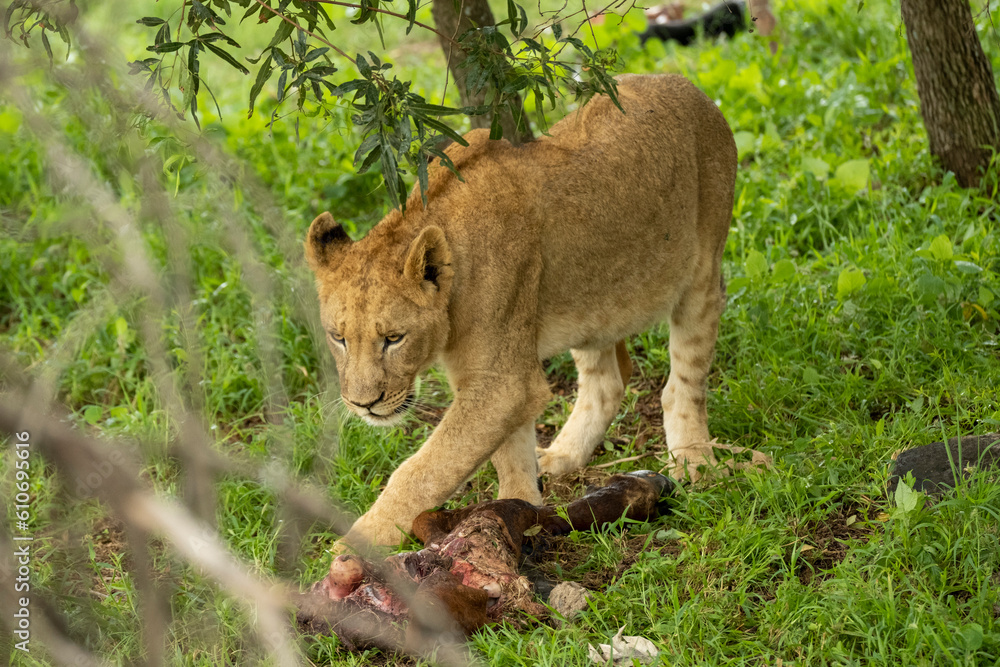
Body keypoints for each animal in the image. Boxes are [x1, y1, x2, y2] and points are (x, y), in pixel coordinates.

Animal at [305, 73, 766, 548]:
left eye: (394, 339)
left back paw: (695, 461)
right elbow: (510, 454)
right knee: (609, 380)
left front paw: (355, 547)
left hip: (702, 272)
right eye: (339, 338)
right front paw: (518, 508)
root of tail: (688, 85)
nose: (363, 405)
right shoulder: (500, 378)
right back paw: (562, 456)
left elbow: (422, 470)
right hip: (588, 298)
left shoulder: (501, 382)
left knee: (683, 382)